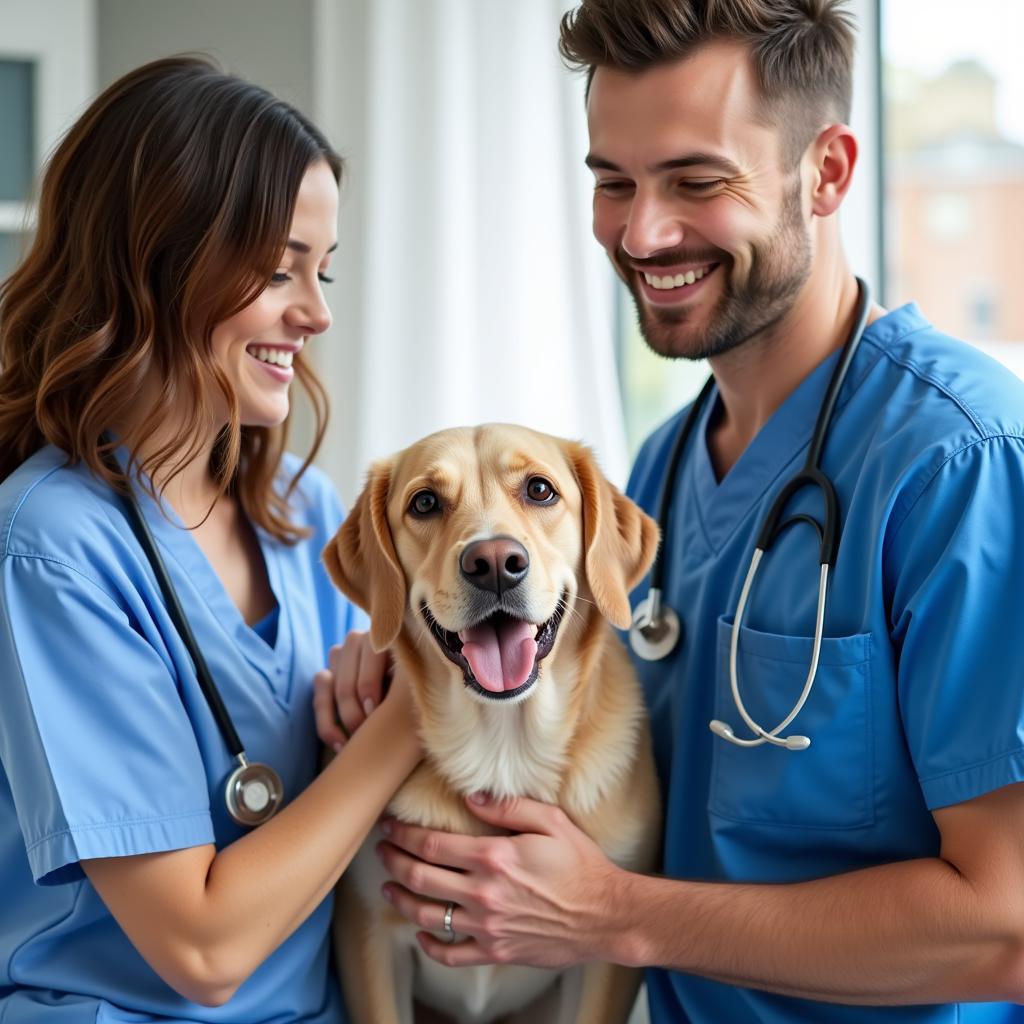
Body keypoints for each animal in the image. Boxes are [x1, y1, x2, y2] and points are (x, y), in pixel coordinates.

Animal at [321, 423, 663, 1024]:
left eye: (540, 490)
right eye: (425, 502)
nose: (495, 561)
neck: (503, 749)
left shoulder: (605, 960)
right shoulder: (368, 936)